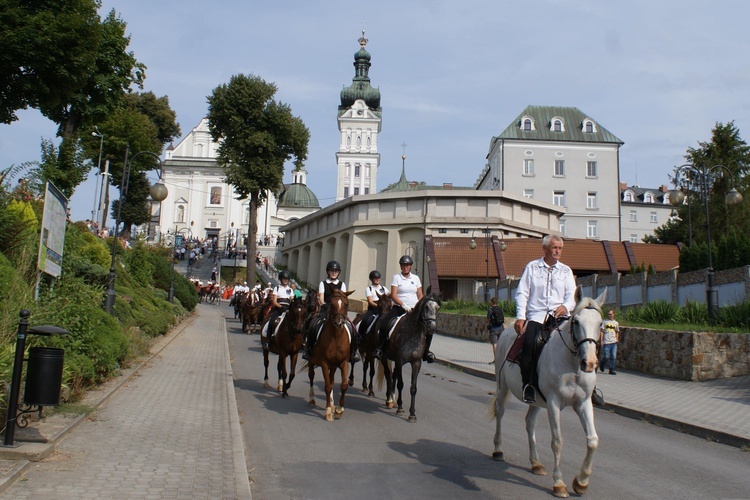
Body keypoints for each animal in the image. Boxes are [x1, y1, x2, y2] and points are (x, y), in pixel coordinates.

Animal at [306, 290, 356, 422]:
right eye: (332, 304)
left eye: (346, 304)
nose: (338, 322)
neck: (336, 337)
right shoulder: (324, 364)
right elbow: (327, 387)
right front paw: (328, 412)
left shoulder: (344, 363)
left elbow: (343, 385)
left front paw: (338, 410)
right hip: (312, 362)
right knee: (312, 376)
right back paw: (312, 399)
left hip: (333, 366)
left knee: (332, 379)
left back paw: (333, 404)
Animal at [382, 292, 440, 422]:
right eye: (426, 307)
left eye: (438, 308)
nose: (432, 328)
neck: (413, 333)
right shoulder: (400, 361)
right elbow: (401, 384)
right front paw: (400, 408)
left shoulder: (416, 363)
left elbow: (413, 388)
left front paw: (412, 414)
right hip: (384, 357)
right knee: (388, 375)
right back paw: (389, 400)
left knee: (393, 376)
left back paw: (392, 399)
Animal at [494, 288, 604, 498]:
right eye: (576, 322)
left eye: (600, 324)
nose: (589, 363)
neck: (571, 364)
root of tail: (507, 330)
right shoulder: (554, 402)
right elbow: (557, 441)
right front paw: (559, 483)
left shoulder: (584, 403)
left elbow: (593, 440)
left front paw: (581, 482)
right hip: (502, 386)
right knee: (500, 413)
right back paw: (498, 450)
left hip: (536, 400)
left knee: (530, 422)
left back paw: (536, 463)